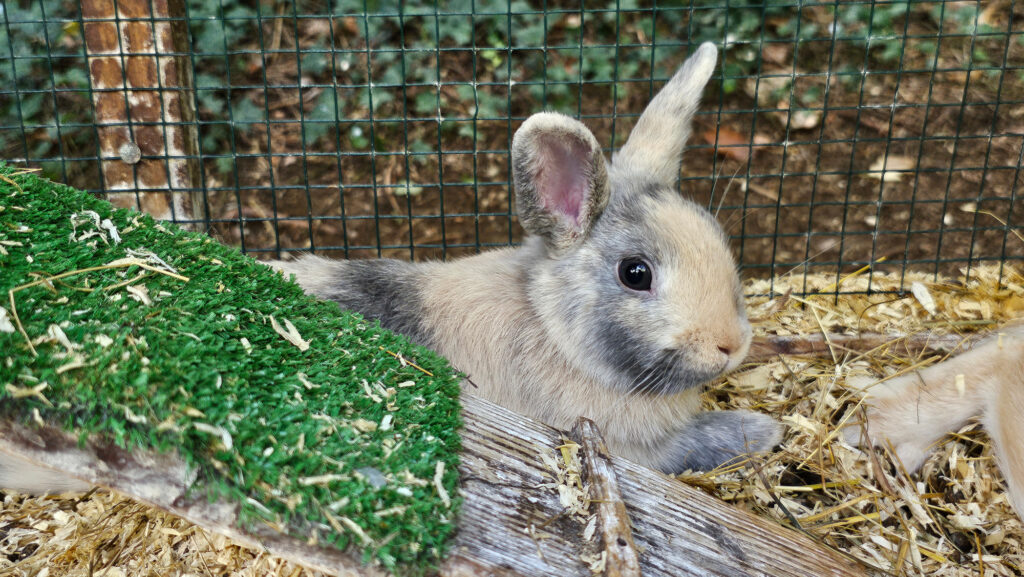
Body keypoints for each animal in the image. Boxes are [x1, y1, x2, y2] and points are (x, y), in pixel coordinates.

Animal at [271, 42, 782, 474]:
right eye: (635, 273)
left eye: (715, 232)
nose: (732, 345)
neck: (555, 335)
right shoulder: (634, 450)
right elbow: (695, 444)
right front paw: (764, 429)